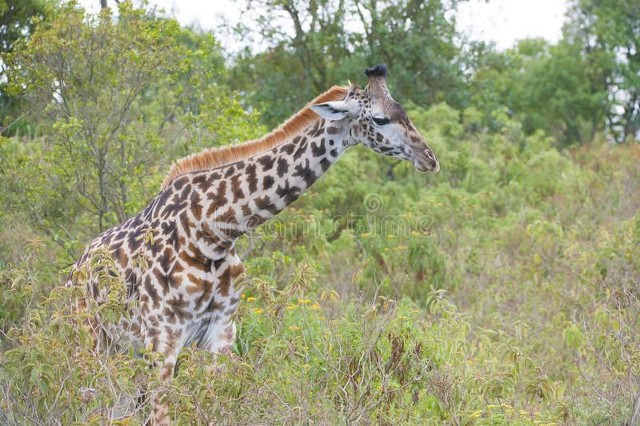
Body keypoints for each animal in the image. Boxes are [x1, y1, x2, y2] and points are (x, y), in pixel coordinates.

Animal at [69, 64, 440, 422]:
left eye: (402, 110)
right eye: (380, 118)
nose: (430, 158)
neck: (215, 232)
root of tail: (76, 268)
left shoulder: (221, 331)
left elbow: (218, 405)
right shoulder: (163, 336)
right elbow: (163, 414)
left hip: (123, 349)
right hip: (92, 338)